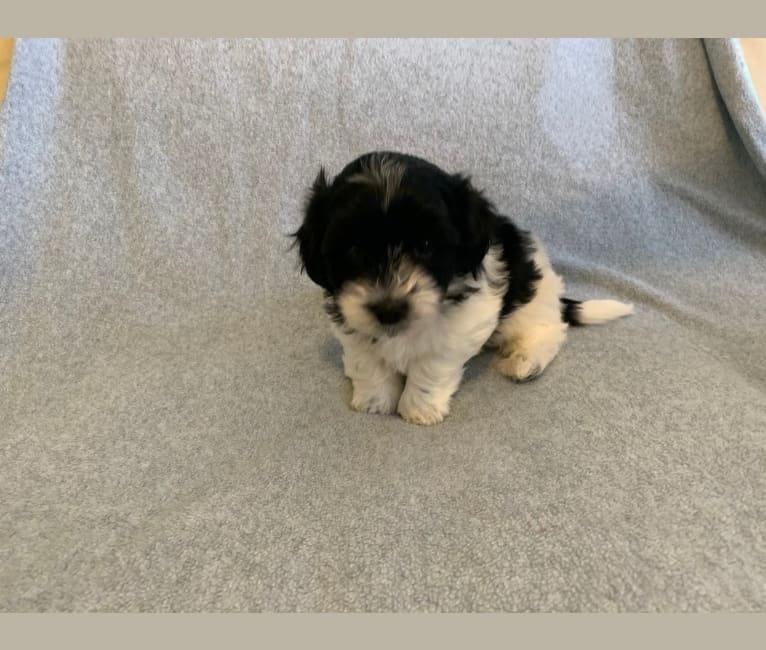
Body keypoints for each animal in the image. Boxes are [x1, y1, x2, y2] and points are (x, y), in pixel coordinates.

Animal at [294, 152, 636, 426]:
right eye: (353, 249)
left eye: (426, 245)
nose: (390, 310)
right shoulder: (350, 320)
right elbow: (366, 357)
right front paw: (375, 398)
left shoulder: (464, 323)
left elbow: (432, 363)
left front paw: (419, 407)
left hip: (530, 298)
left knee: (551, 327)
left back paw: (525, 359)